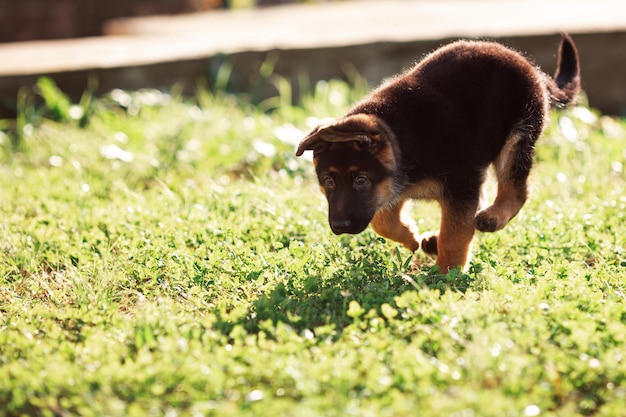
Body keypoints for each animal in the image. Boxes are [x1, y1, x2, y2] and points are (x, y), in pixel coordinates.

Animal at [294, 34, 576, 272]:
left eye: (361, 179)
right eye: (328, 181)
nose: (339, 227)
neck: (399, 139)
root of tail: (530, 66)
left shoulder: (460, 185)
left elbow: (455, 233)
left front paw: (446, 274)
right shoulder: (395, 189)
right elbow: (382, 221)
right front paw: (410, 236)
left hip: (517, 137)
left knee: (516, 188)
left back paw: (493, 217)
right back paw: (434, 240)